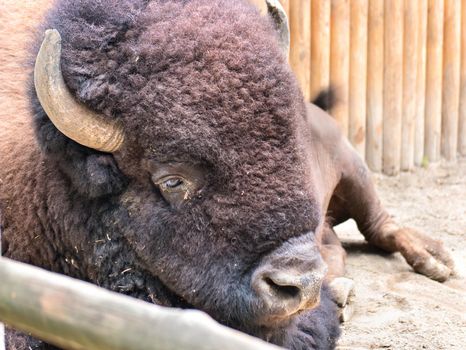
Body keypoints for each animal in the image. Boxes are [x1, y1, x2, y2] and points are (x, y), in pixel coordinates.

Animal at [0, 0, 452, 350]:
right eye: (172, 179)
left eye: (295, 142)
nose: (302, 284)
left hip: (353, 171)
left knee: (380, 224)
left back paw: (436, 260)